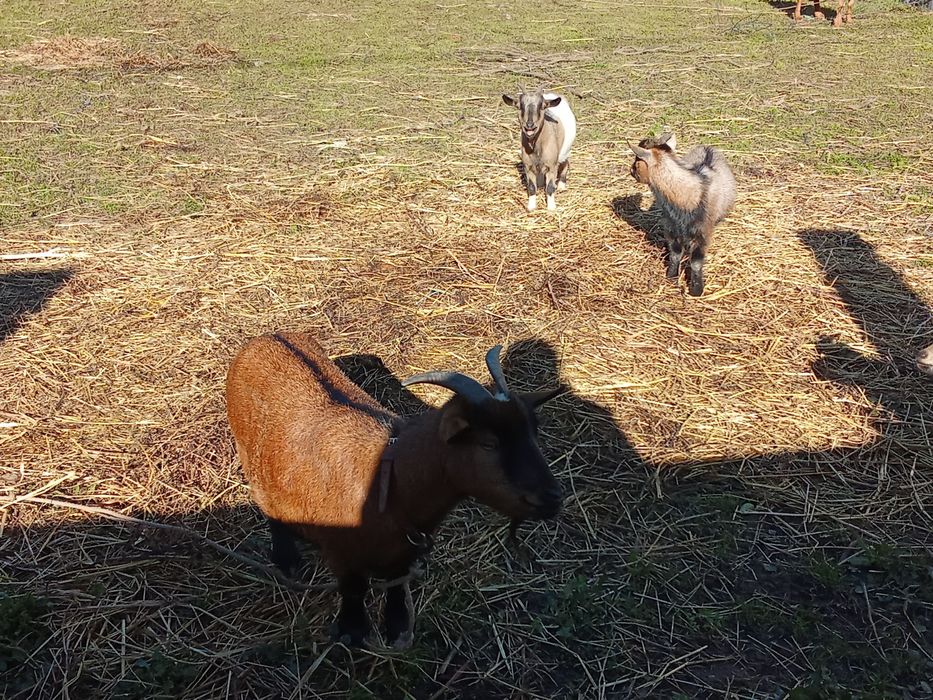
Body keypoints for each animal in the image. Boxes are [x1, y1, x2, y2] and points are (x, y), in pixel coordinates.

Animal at [226, 333, 564, 649]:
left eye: (533, 432)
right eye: (488, 444)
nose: (552, 498)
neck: (389, 483)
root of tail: (266, 337)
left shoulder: (405, 550)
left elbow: (396, 583)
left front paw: (397, 625)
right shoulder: (341, 554)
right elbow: (354, 589)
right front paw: (352, 630)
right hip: (249, 457)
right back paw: (286, 559)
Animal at [628, 132, 736, 297]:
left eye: (637, 160)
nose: (631, 171)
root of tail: (707, 147)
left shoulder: (703, 231)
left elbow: (696, 262)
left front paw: (696, 290)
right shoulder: (671, 226)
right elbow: (675, 252)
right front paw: (671, 277)